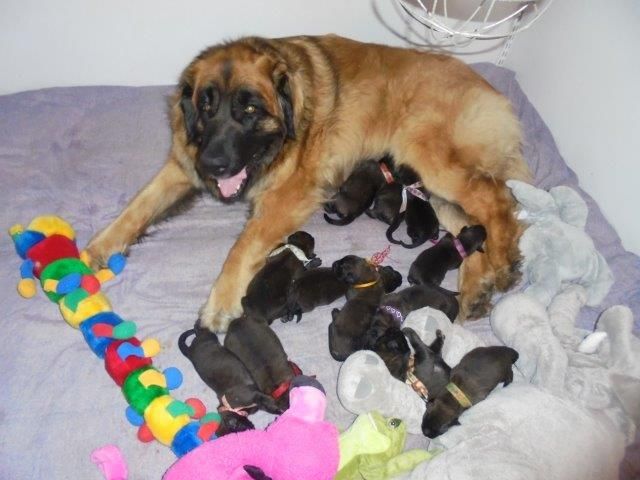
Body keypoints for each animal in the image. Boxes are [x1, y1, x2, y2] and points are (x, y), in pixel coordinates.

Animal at [87, 34, 532, 330]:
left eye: (250, 109)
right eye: (206, 105)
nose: (214, 165)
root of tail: (491, 92)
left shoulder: (289, 195)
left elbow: (241, 248)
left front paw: (221, 302)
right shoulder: (183, 165)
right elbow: (135, 209)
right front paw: (95, 250)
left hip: (431, 158)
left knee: (495, 200)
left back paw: (504, 264)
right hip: (432, 185)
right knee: (470, 226)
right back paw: (475, 290)